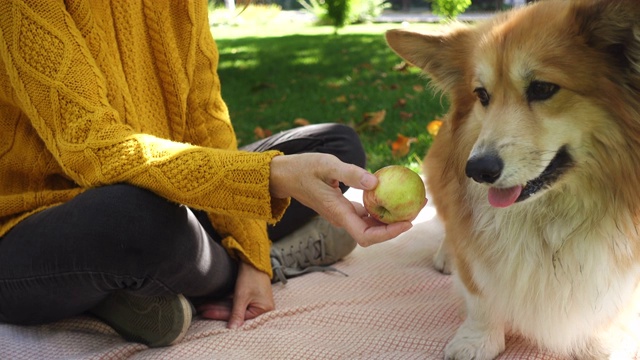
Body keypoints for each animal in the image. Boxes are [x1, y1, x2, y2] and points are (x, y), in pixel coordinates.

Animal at [384, 1, 640, 358]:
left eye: (543, 88)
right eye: (481, 95)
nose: (477, 170)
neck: (550, 212)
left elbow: (609, 309)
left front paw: (600, 344)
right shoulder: (473, 248)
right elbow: (479, 292)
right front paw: (477, 339)